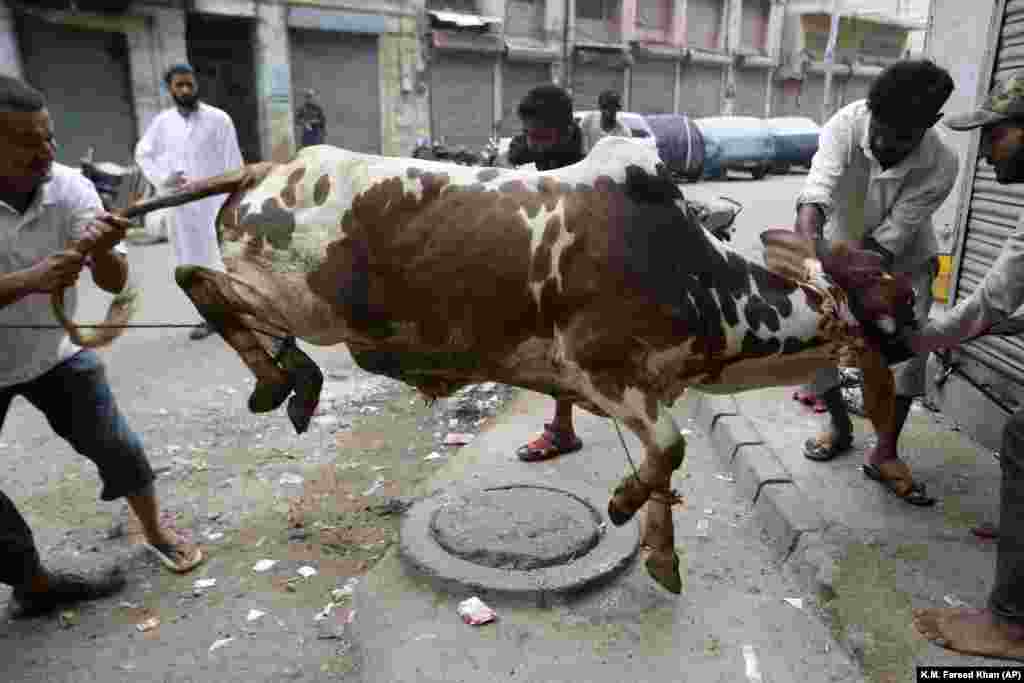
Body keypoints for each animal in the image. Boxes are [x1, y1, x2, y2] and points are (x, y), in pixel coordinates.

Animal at [144, 137, 913, 593]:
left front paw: (662, 556)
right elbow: (671, 449)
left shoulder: (646, 389)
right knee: (195, 279)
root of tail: (270, 164)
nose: (919, 340)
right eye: (893, 292)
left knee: (216, 294)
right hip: (303, 298)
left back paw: (290, 380)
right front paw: (620, 504)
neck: (698, 275)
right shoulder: (602, 370)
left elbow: (664, 470)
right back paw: (283, 380)